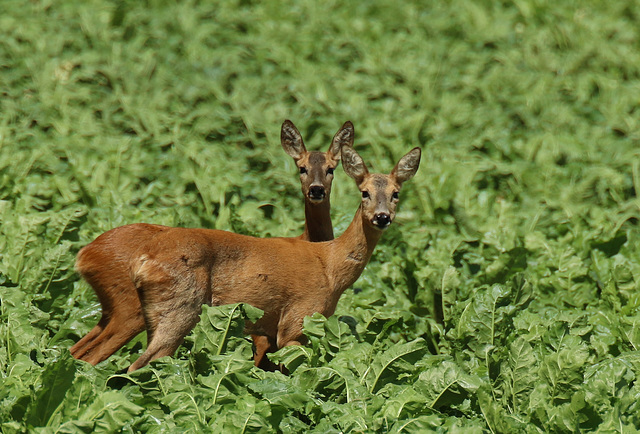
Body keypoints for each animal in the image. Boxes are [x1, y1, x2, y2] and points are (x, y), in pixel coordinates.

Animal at [72, 120, 352, 368]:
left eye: (331, 168)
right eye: (301, 167)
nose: (316, 190)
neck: (312, 243)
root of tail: (85, 254)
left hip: (112, 310)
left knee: (75, 350)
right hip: (131, 308)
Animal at [125, 144, 422, 372]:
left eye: (396, 194)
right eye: (365, 192)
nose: (382, 217)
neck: (330, 265)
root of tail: (142, 261)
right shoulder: (296, 320)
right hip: (181, 307)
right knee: (140, 363)